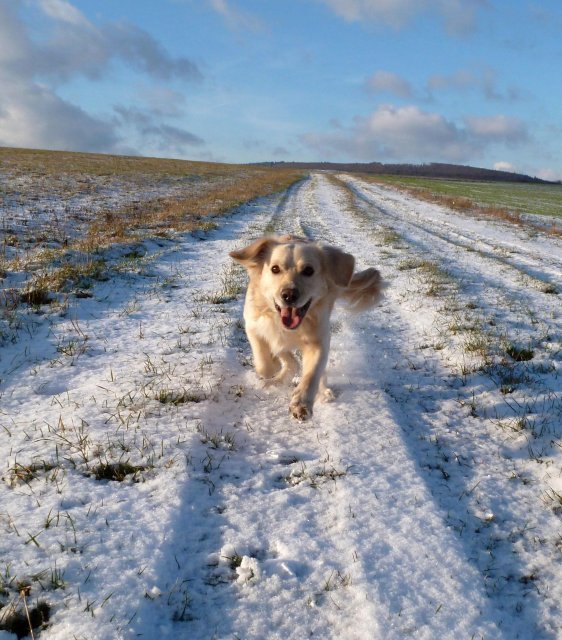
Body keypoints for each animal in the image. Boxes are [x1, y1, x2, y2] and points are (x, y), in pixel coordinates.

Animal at [230, 235, 382, 421]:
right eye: (275, 269)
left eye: (308, 270)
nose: (289, 295)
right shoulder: (253, 326)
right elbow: (264, 362)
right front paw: (273, 369)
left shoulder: (319, 341)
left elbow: (312, 374)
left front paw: (301, 404)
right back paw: (277, 378)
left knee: (314, 370)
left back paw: (324, 392)